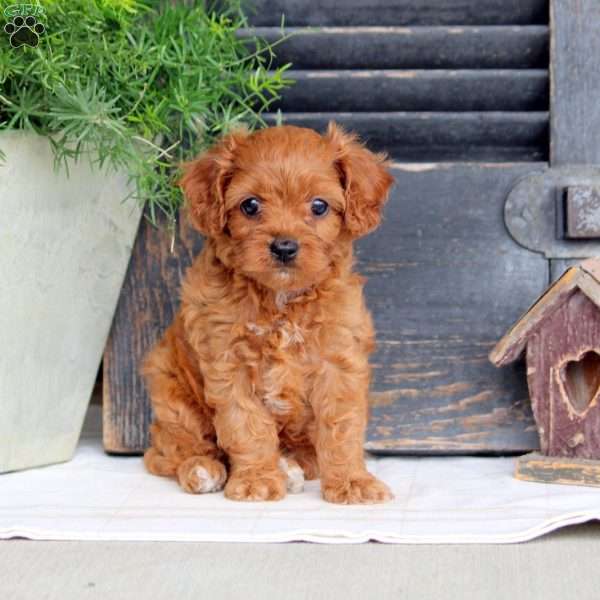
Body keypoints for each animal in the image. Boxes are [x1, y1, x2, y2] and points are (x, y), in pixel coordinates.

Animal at [141, 124, 394, 504]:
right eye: (250, 205)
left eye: (319, 206)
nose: (284, 246)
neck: (280, 300)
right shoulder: (228, 363)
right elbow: (245, 425)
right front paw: (257, 480)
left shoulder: (339, 359)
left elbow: (342, 426)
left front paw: (353, 482)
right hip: (171, 392)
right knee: (167, 453)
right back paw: (203, 469)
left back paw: (291, 467)